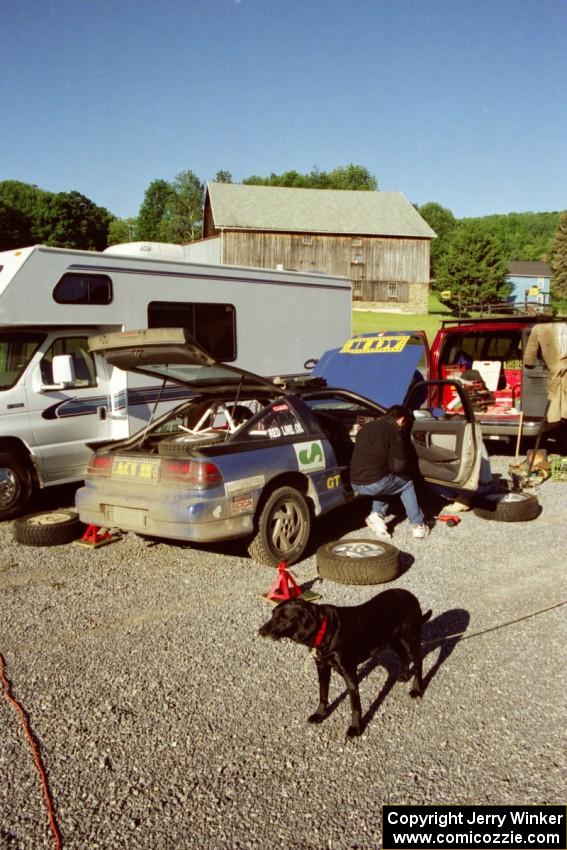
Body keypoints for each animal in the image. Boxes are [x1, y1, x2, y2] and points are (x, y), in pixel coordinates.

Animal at [260, 588, 432, 736]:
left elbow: (355, 706)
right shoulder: (322, 667)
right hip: (393, 639)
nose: (260, 632)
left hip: (411, 638)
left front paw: (355, 729)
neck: (325, 629)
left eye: (282, 618)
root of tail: (410, 595)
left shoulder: (350, 674)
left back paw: (417, 689)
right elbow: (323, 694)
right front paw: (320, 715)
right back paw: (404, 675)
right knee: (403, 655)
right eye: (273, 614)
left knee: (418, 662)